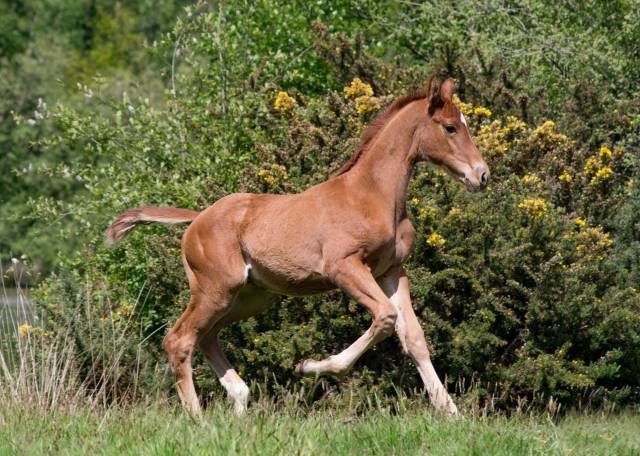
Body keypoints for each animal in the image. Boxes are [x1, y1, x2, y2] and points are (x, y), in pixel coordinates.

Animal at [107, 75, 490, 416]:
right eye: (450, 127)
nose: (481, 175)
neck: (371, 193)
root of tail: (198, 218)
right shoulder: (344, 267)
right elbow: (385, 317)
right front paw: (308, 366)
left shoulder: (392, 271)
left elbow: (414, 336)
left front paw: (451, 412)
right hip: (215, 290)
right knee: (179, 339)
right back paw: (197, 418)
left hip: (250, 297)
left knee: (206, 336)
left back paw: (239, 403)